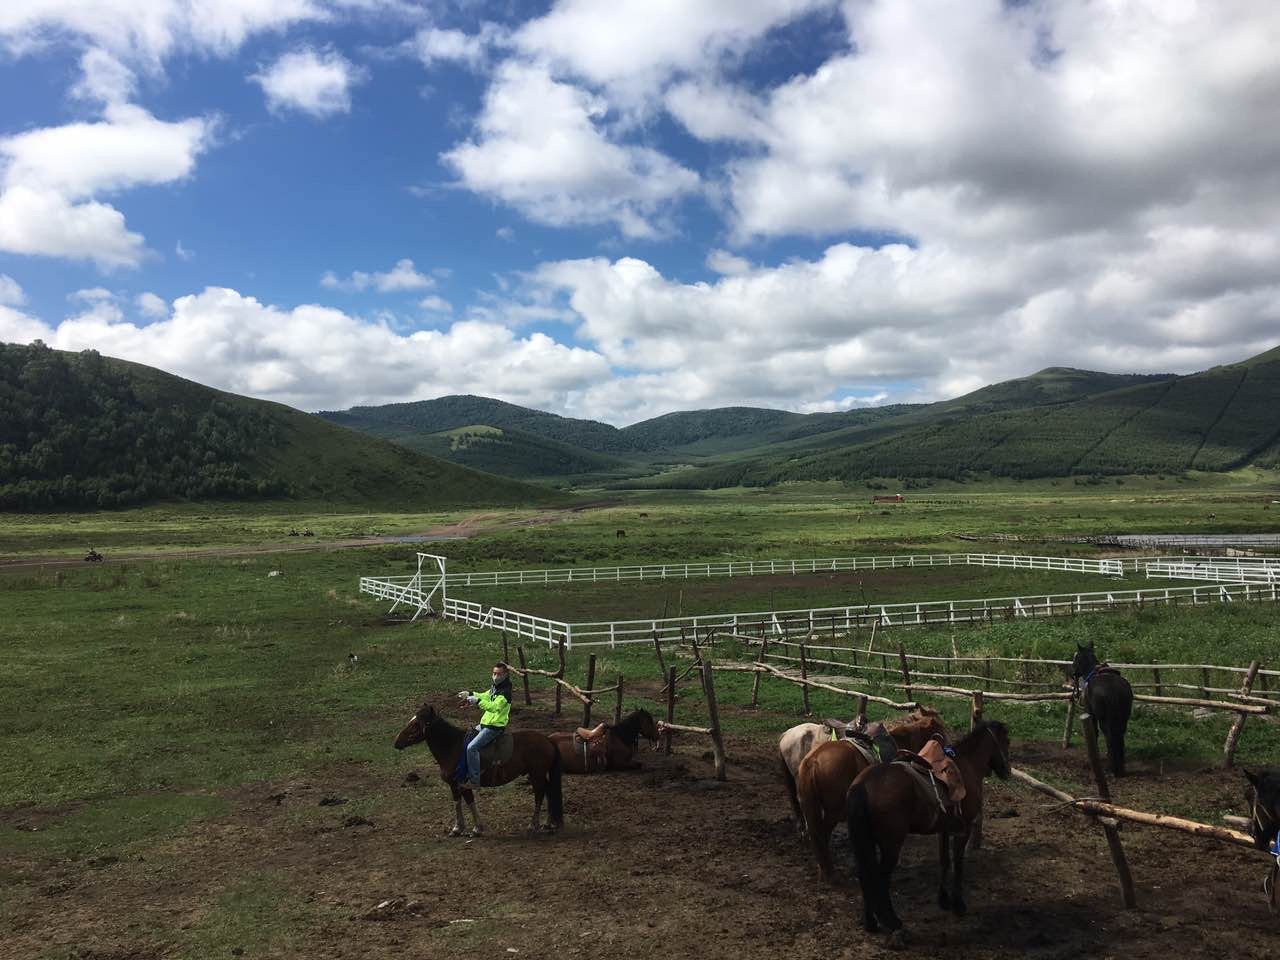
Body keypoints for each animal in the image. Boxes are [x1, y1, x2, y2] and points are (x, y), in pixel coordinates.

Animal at [391, 701, 563, 839]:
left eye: (415, 724)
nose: (396, 742)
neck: (452, 746)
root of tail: (547, 740)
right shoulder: (453, 785)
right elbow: (457, 803)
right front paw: (457, 828)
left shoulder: (463, 784)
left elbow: (469, 802)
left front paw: (476, 829)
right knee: (549, 791)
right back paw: (548, 823)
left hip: (536, 775)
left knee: (540, 795)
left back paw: (533, 825)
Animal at [788, 711, 952, 885]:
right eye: (941, 729)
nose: (949, 750)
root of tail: (812, 761)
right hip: (833, 813)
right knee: (822, 836)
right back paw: (829, 874)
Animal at [844, 721, 1013, 942]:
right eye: (1007, 741)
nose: (1007, 772)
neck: (967, 766)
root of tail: (862, 786)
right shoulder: (965, 828)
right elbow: (958, 864)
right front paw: (958, 904)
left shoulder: (945, 828)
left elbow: (944, 861)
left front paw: (943, 900)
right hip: (891, 845)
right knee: (879, 878)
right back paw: (892, 921)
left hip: (866, 841)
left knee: (865, 875)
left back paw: (871, 922)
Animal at [1070, 642, 1131, 778]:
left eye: (1076, 658)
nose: (1073, 673)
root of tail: (1113, 689)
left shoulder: (1091, 714)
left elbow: (1094, 733)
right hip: (1123, 718)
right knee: (1120, 736)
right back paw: (1121, 768)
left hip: (1105, 720)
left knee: (1109, 737)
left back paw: (1112, 768)